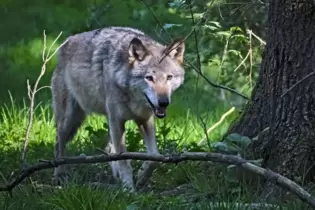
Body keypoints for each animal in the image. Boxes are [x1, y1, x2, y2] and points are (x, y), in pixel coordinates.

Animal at [50, 26, 186, 190]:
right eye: (149, 78)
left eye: (169, 77)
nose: (163, 102)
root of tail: (65, 42)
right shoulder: (118, 120)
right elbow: (124, 160)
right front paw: (128, 189)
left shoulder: (144, 119)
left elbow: (154, 156)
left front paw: (141, 177)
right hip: (70, 120)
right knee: (58, 143)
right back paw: (59, 174)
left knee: (109, 148)